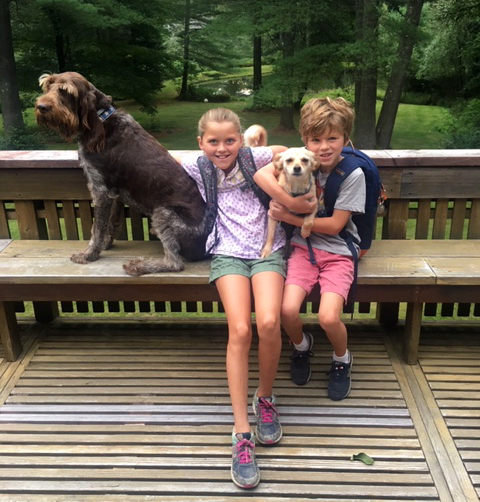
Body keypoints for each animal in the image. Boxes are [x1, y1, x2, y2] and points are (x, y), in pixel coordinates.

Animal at [33, 71, 206, 274]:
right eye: (48, 86)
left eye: (66, 91)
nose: (41, 106)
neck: (102, 120)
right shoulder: (114, 193)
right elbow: (110, 224)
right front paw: (105, 245)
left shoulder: (100, 190)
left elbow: (97, 228)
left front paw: (89, 254)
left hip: (163, 213)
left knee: (174, 263)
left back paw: (138, 266)